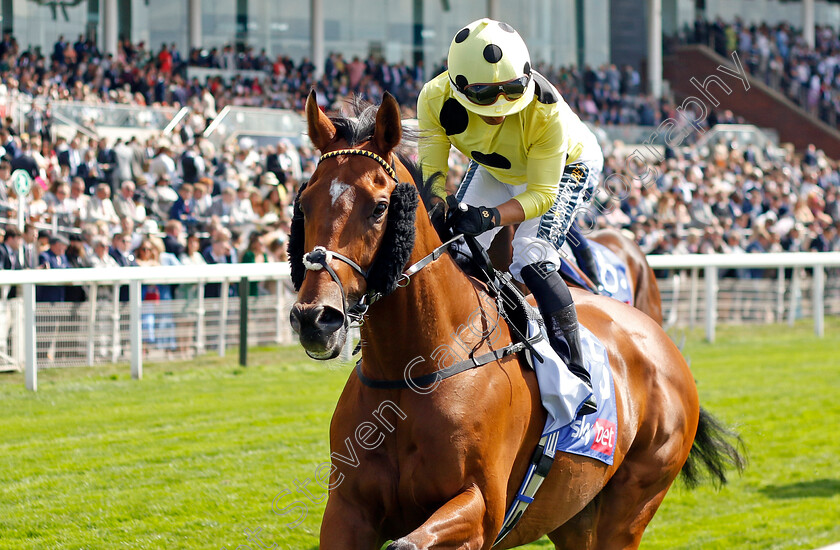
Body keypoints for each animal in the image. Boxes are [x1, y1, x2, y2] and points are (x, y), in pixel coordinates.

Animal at [288, 91, 740, 550]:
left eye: (380, 208)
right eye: (304, 204)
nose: (316, 318)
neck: (412, 370)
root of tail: (663, 344)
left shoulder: (480, 509)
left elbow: (409, 541)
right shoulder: (347, 512)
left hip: (631, 507)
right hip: (574, 514)